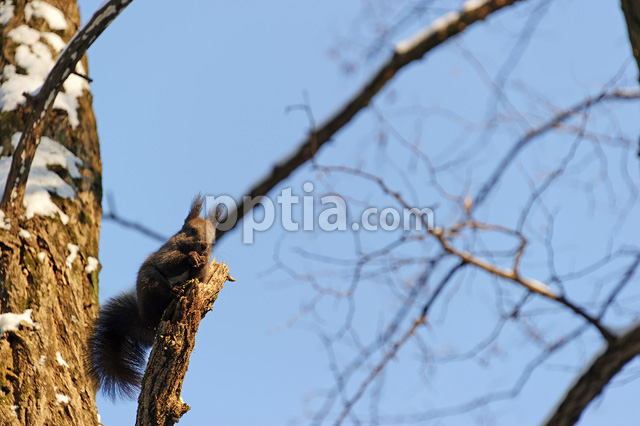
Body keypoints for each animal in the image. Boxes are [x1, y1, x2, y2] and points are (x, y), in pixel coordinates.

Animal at [89, 195, 221, 402]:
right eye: (191, 230)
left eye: (213, 238)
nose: (204, 246)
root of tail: (147, 324)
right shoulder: (165, 252)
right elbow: (169, 262)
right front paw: (190, 257)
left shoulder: (202, 274)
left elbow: (201, 277)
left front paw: (199, 262)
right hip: (151, 284)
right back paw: (174, 292)